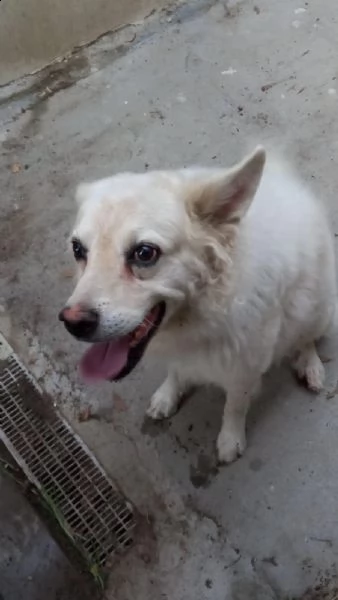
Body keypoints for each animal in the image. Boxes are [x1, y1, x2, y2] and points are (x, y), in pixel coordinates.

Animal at [60, 146, 336, 464]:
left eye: (144, 253)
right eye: (78, 249)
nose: (73, 323)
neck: (205, 311)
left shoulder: (246, 367)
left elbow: (235, 405)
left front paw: (230, 438)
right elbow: (176, 371)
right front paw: (168, 395)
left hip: (315, 309)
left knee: (307, 339)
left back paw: (311, 365)